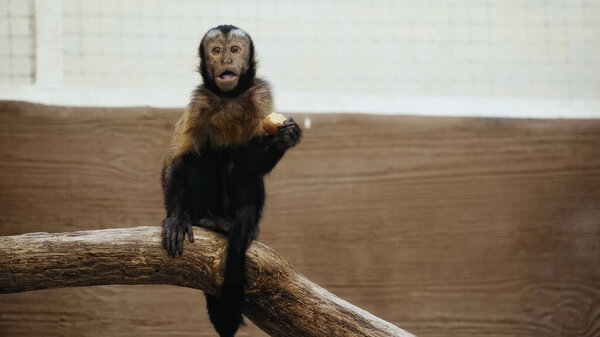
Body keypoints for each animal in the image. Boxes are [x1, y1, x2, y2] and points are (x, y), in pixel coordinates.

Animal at [161, 24, 302, 336]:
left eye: (235, 50)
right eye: (216, 51)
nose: (226, 61)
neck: (229, 97)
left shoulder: (260, 95)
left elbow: (253, 163)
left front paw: (285, 138)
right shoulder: (199, 101)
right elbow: (176, 161)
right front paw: (176, 218)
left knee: (239, 162)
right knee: (200, 156)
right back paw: (206, 220)